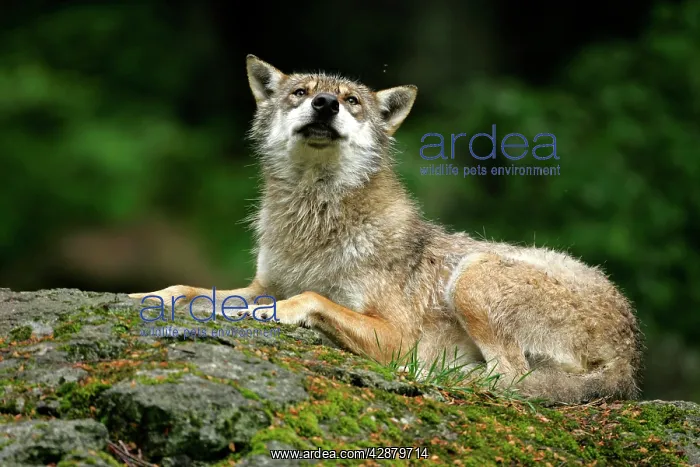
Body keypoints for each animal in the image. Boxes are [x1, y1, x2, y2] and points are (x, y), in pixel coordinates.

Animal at [130, 55, 643, 404]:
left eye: (352, 101)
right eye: (301, 93)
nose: (326, 104)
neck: (313, 226)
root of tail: (632, 353)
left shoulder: (396, 336)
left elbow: (311, 298)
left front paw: (276, 313)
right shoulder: (262, 283)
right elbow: (191, 288)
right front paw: (149, 295)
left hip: (473, 275)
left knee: (511, 376)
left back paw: (437, 376)